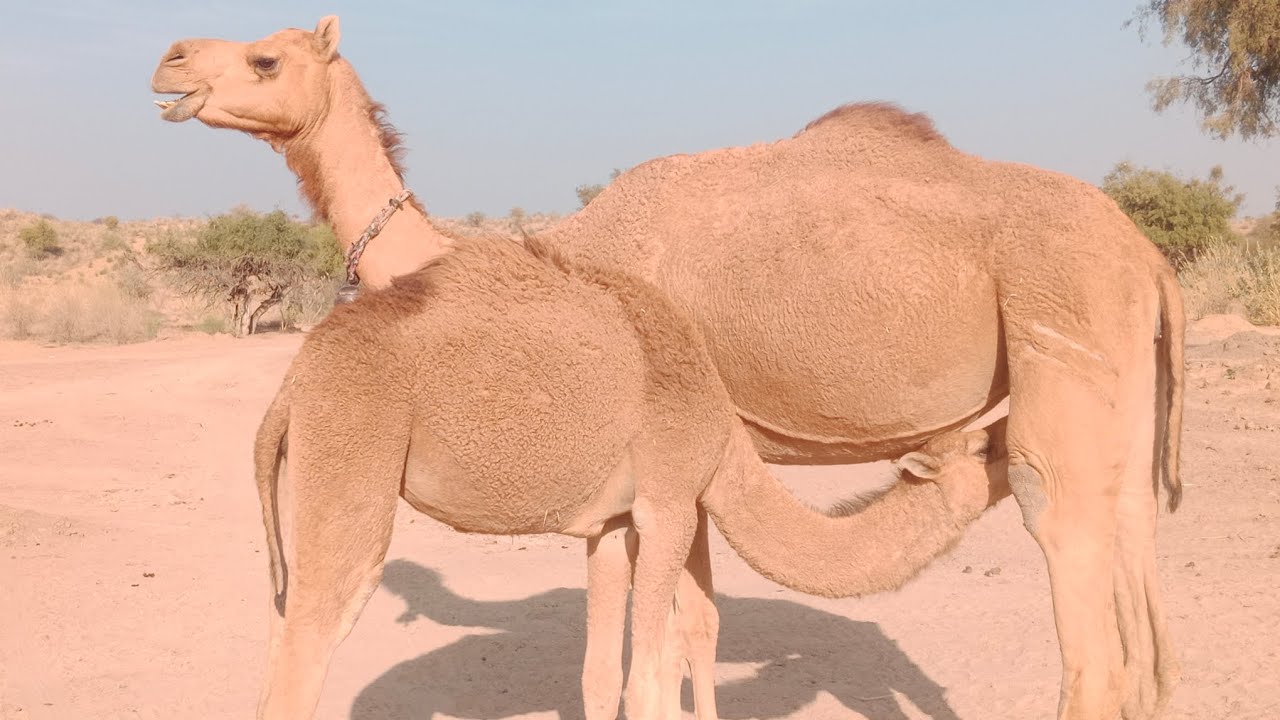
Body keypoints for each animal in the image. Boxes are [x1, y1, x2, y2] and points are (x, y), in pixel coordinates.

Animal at [250, 232, 1007, 719]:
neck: (721, 434)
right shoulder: (667, 505)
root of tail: (288, 388)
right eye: (982, 450)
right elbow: (650, 681)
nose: (1012, 441)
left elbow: (601, 676)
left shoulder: (610, 526)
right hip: (352, 457)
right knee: (304, 653)